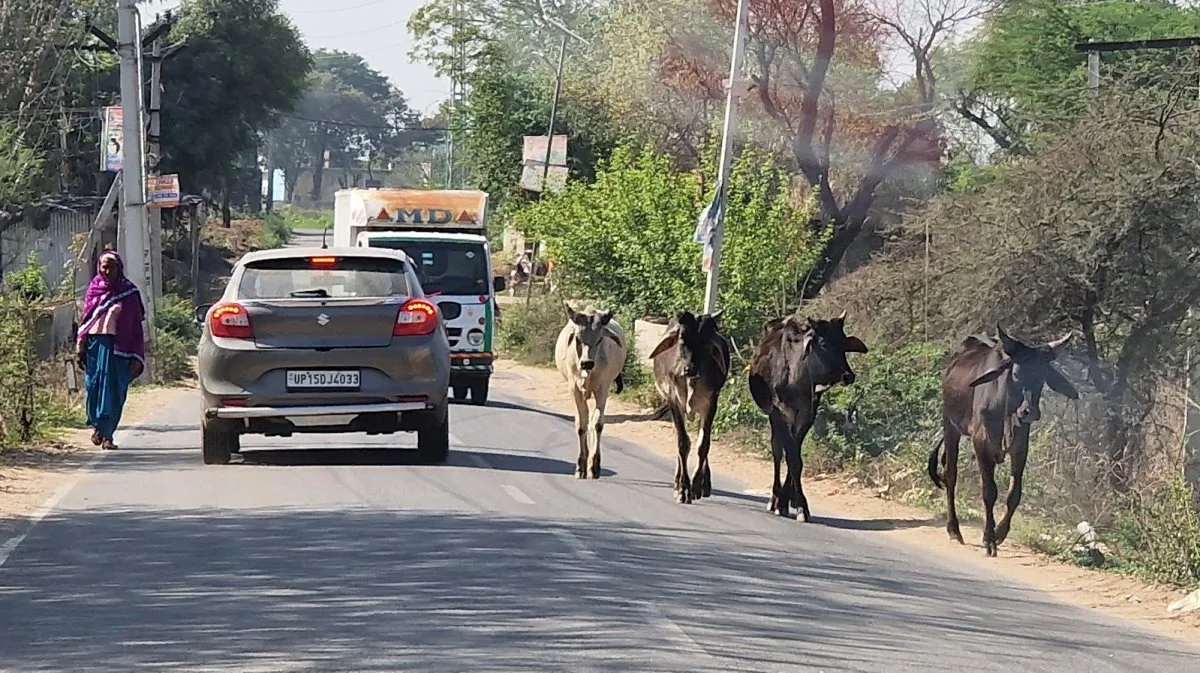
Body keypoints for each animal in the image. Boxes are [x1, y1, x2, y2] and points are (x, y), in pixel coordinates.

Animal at [552, 302, 628, 479]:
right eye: (578, 338)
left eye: (600, 339)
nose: (587, 363)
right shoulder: (574, 389)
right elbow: (581, 424)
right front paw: (581, 466)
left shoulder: (603, 388)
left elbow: (597, 424)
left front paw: (594, 465)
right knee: (585, 420)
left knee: (591, 421)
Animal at [648, 309, 729, 503]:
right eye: (682, 338)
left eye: (707, 342)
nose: (690, 369)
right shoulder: (674, 402)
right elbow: (683, 443)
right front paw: (683, 488)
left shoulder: (711, 403)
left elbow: (703, 445)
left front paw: (697, 485)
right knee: (681, 441)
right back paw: (677, 482)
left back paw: (705, 484)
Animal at [744, 309, 868, 520]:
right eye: (824, 343)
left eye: (843, 343)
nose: (848, 376)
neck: (798, 375)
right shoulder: (779, 411)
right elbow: (790, 456)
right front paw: (792, 504)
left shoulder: (807, 414)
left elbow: (796, 456)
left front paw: (793, 501)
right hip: (773, 416)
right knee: (777, 450)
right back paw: (774, 498)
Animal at [926, 326, 1080, 556]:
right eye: (1016, 373)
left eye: (1042, 376)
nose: (1029, 412)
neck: (1006, 408)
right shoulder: (981, 443)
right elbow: (989, 492)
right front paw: (988, 539)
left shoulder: (1020, 447)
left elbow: (1014, 494)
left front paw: (999, 533)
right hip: (950, 426)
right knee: (950, 476)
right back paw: (954, 530)